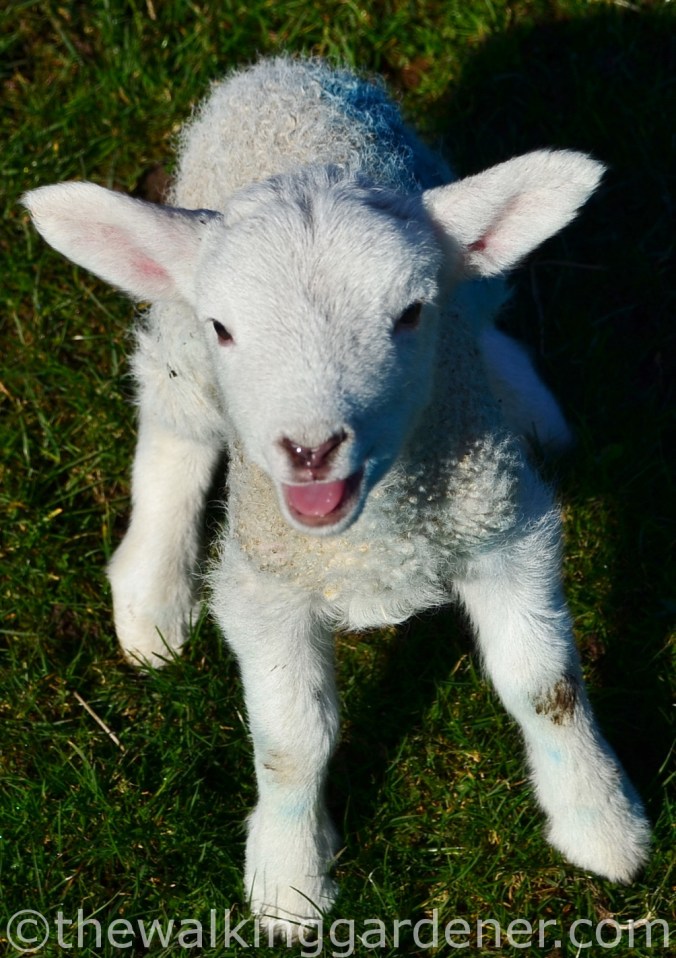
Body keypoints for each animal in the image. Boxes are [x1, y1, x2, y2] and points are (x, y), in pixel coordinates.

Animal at [23, 56, 650, 937]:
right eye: (226, 327)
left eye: (411, 313)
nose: (310, 450)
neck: (371, 543)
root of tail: (281, 70)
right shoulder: (265, 584)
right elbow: (292, 740)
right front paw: (289, 881)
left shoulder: (504, 530)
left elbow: (545, 688)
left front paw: (601, 823)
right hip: (180, 350)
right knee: (172, 423)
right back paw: (153, 592)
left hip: (467, 269)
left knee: (483, 320)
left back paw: (525, 398)